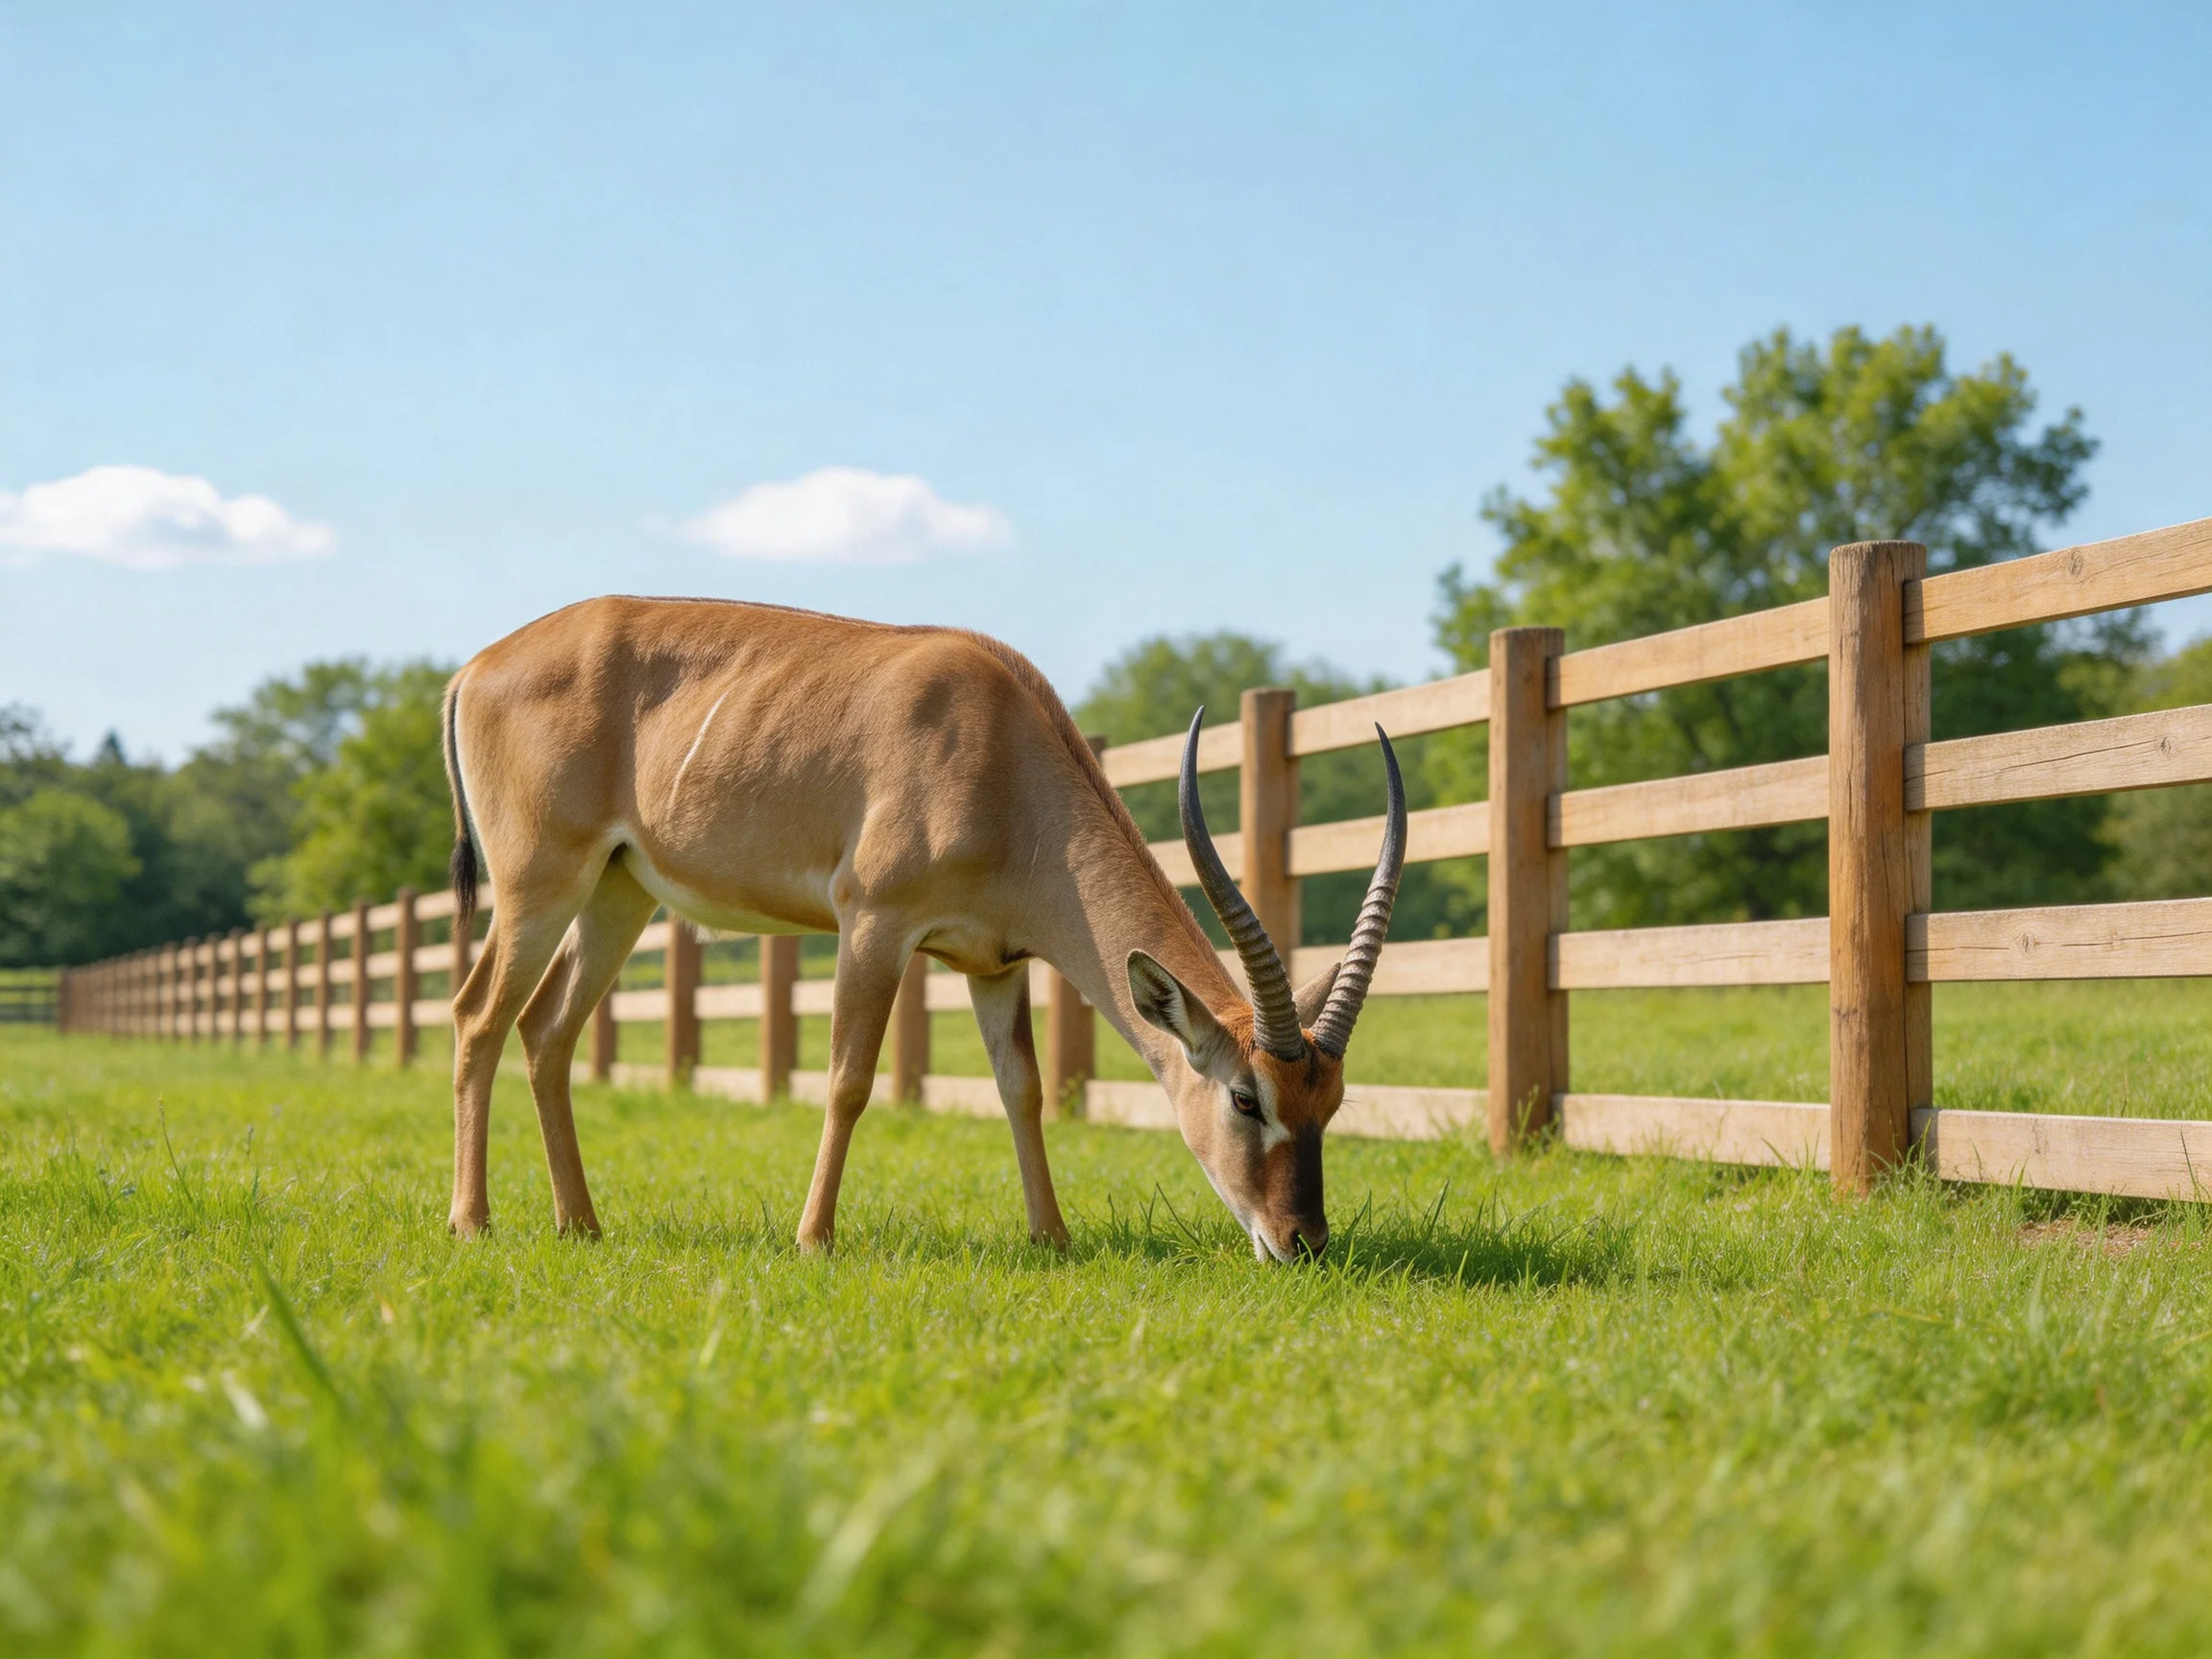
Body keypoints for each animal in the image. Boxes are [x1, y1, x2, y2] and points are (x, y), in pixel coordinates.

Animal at [441, 598, 1406, 1261]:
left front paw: (1052, 1238)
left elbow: (1022, 1087)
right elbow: (848, 1080)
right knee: (479, 1016)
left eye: (1332, 1102)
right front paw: (814, 1240)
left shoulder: (994, 963)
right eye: (1248, 1098)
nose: (1302, 1242)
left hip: (616, 894)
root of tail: (477, 666)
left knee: (546, 1029)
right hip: (538, 886)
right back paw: (472, 1221)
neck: (1004, 749)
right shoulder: (874, 924)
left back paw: (581, 1225)